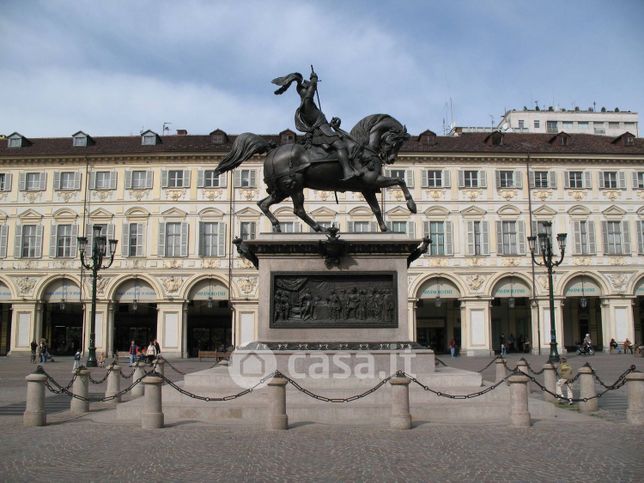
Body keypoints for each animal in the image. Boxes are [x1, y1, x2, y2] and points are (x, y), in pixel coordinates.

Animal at [214, 114, 418, 233]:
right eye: (397, 141)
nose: (391, 159)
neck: (363, 148)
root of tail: (272, 150)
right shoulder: (372, 179)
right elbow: (400, 181)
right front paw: (412, 205)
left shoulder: (367, 187)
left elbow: (376, 208)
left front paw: (385, 229)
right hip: (294, 185)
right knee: (298, 210)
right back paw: (321, 228)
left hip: (282, 190)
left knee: (263, 204)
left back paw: (277, 226)